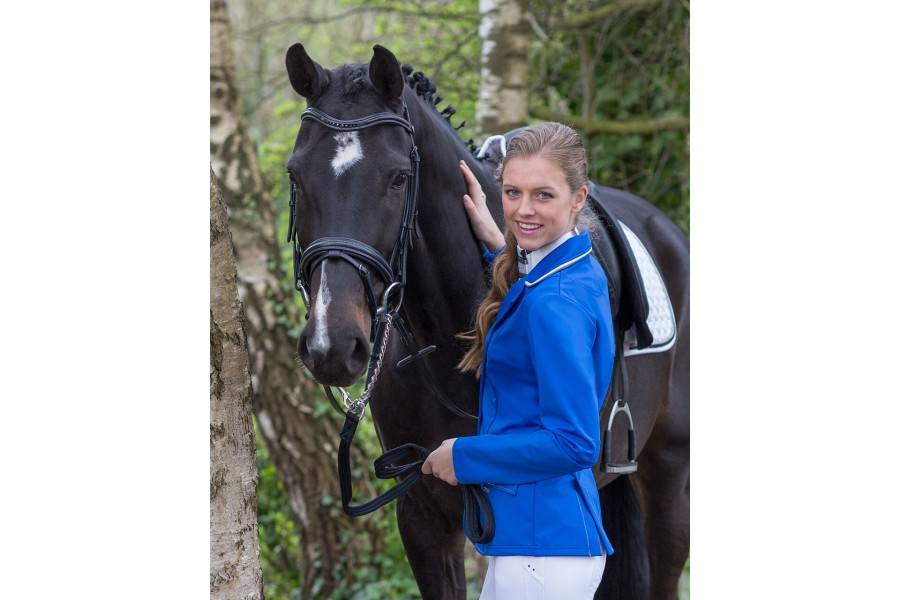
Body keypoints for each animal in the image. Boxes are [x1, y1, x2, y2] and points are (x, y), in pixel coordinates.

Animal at [284, 42, 689, 600]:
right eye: (295, 175)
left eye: (397, 177)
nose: (333, 344)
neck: (450, 342)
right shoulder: (422, 517)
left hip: (669, 481)